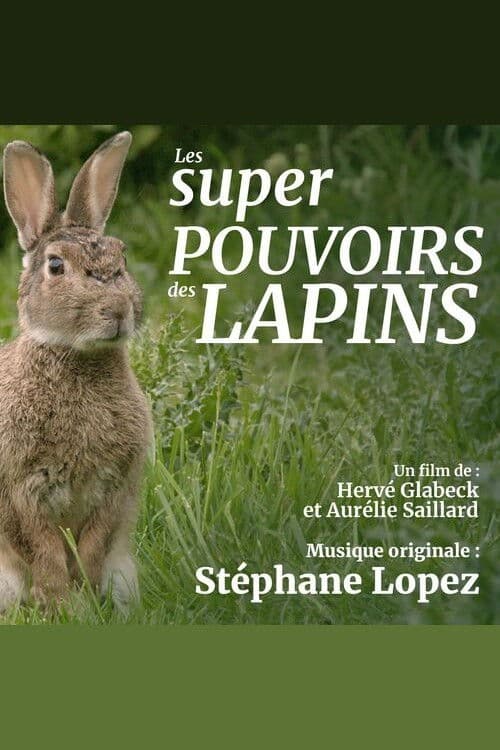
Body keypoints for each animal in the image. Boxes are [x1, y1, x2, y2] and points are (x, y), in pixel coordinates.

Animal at [0, 131, 152, 613]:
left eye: (121, 259)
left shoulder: (114, 488)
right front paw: (63, 606)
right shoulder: (20, 492)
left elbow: (93, 547)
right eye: (55, 266)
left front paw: (84, 598)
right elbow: (43, 550)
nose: (118, 309)